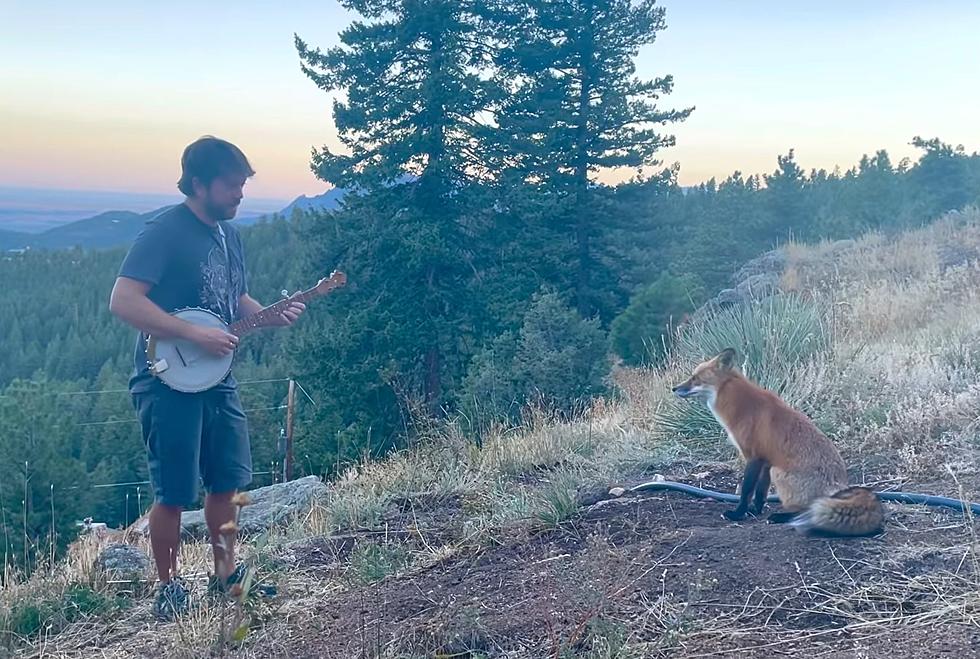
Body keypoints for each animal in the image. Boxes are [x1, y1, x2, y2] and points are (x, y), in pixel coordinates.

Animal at [668, 348, 884, 540]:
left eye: (695, 378)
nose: (674, 388)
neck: (741, 405)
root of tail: (838, 488)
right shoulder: (766, 460)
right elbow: (760, 492)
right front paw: (755, 511)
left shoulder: (753, 456)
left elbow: (746, 490)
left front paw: (738, 514)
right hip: (775, 471)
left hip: (779, 474)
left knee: (807, 509)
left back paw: (782, 517)